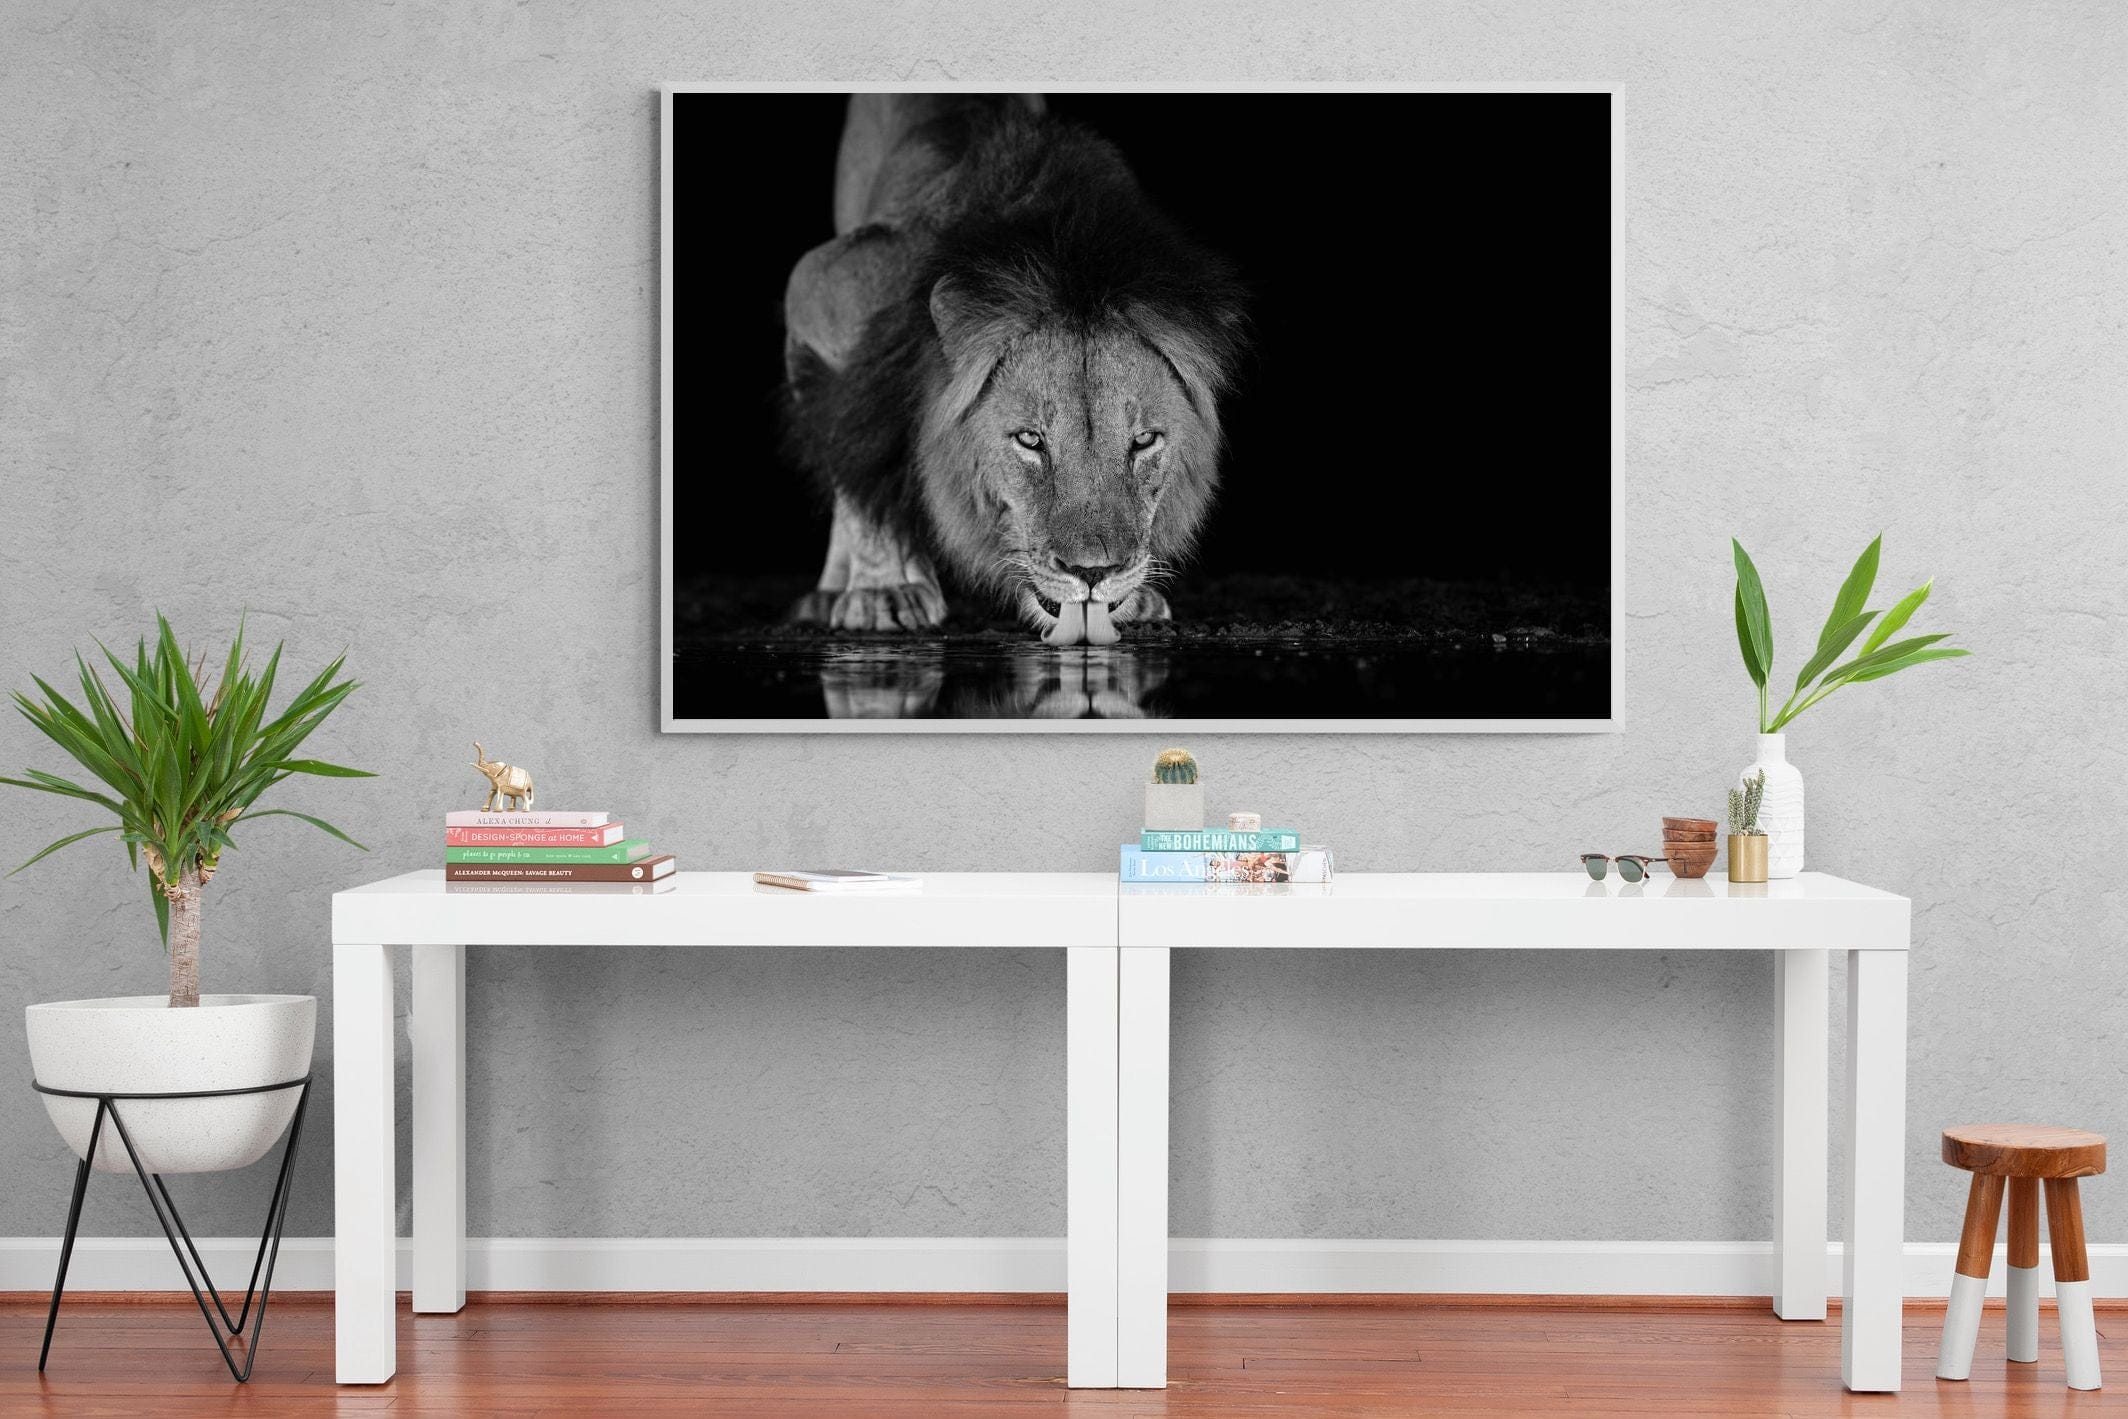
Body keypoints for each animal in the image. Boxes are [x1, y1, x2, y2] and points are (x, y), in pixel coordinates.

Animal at [779, 94, 1248, 645]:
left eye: (1144, 441)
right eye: (1030, 440)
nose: (1093, 573)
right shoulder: (820, 289)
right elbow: (859, 451)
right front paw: (882, 591)